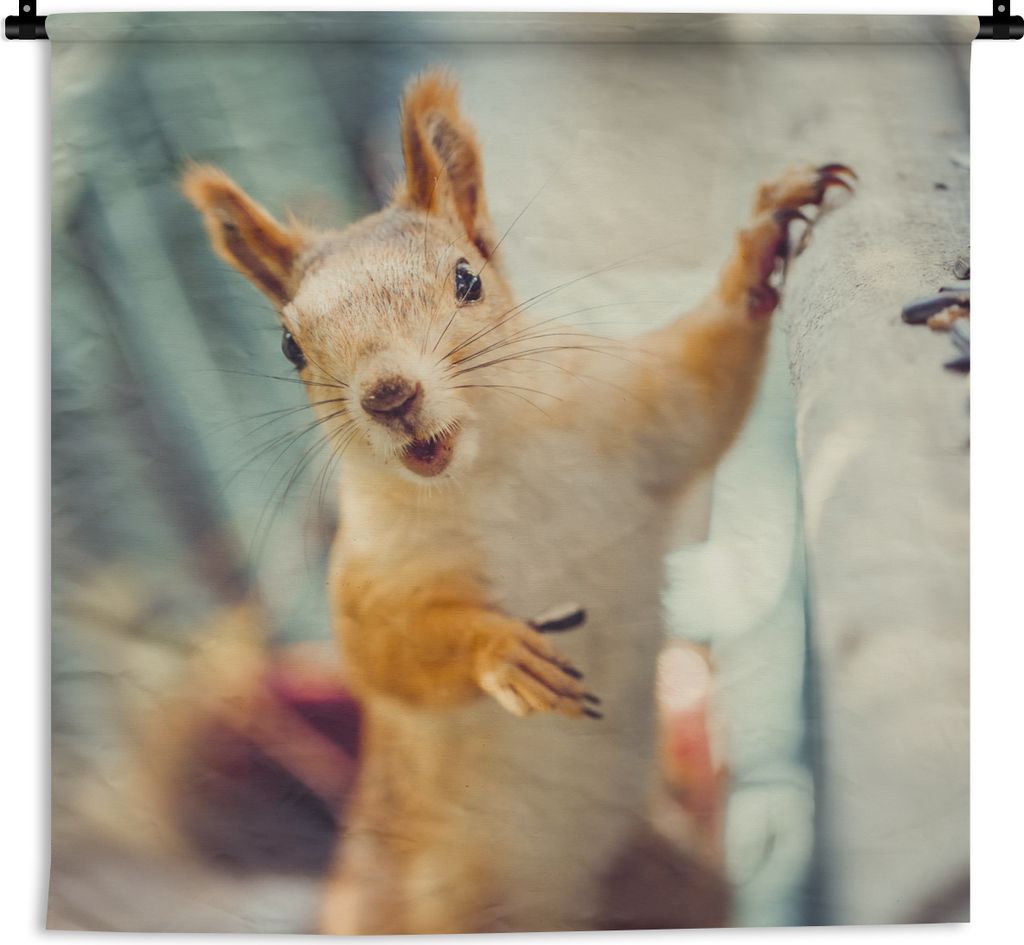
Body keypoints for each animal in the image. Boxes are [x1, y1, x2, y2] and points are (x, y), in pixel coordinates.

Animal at [183, 69, 854, 934]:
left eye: (467, 278)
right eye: (289, 345)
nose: (389, 395)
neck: (491, 468)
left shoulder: (638, 416)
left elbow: (701, 386)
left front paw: (765, 236)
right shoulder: (374, 578)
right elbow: (389, 651)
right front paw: (500, 650)